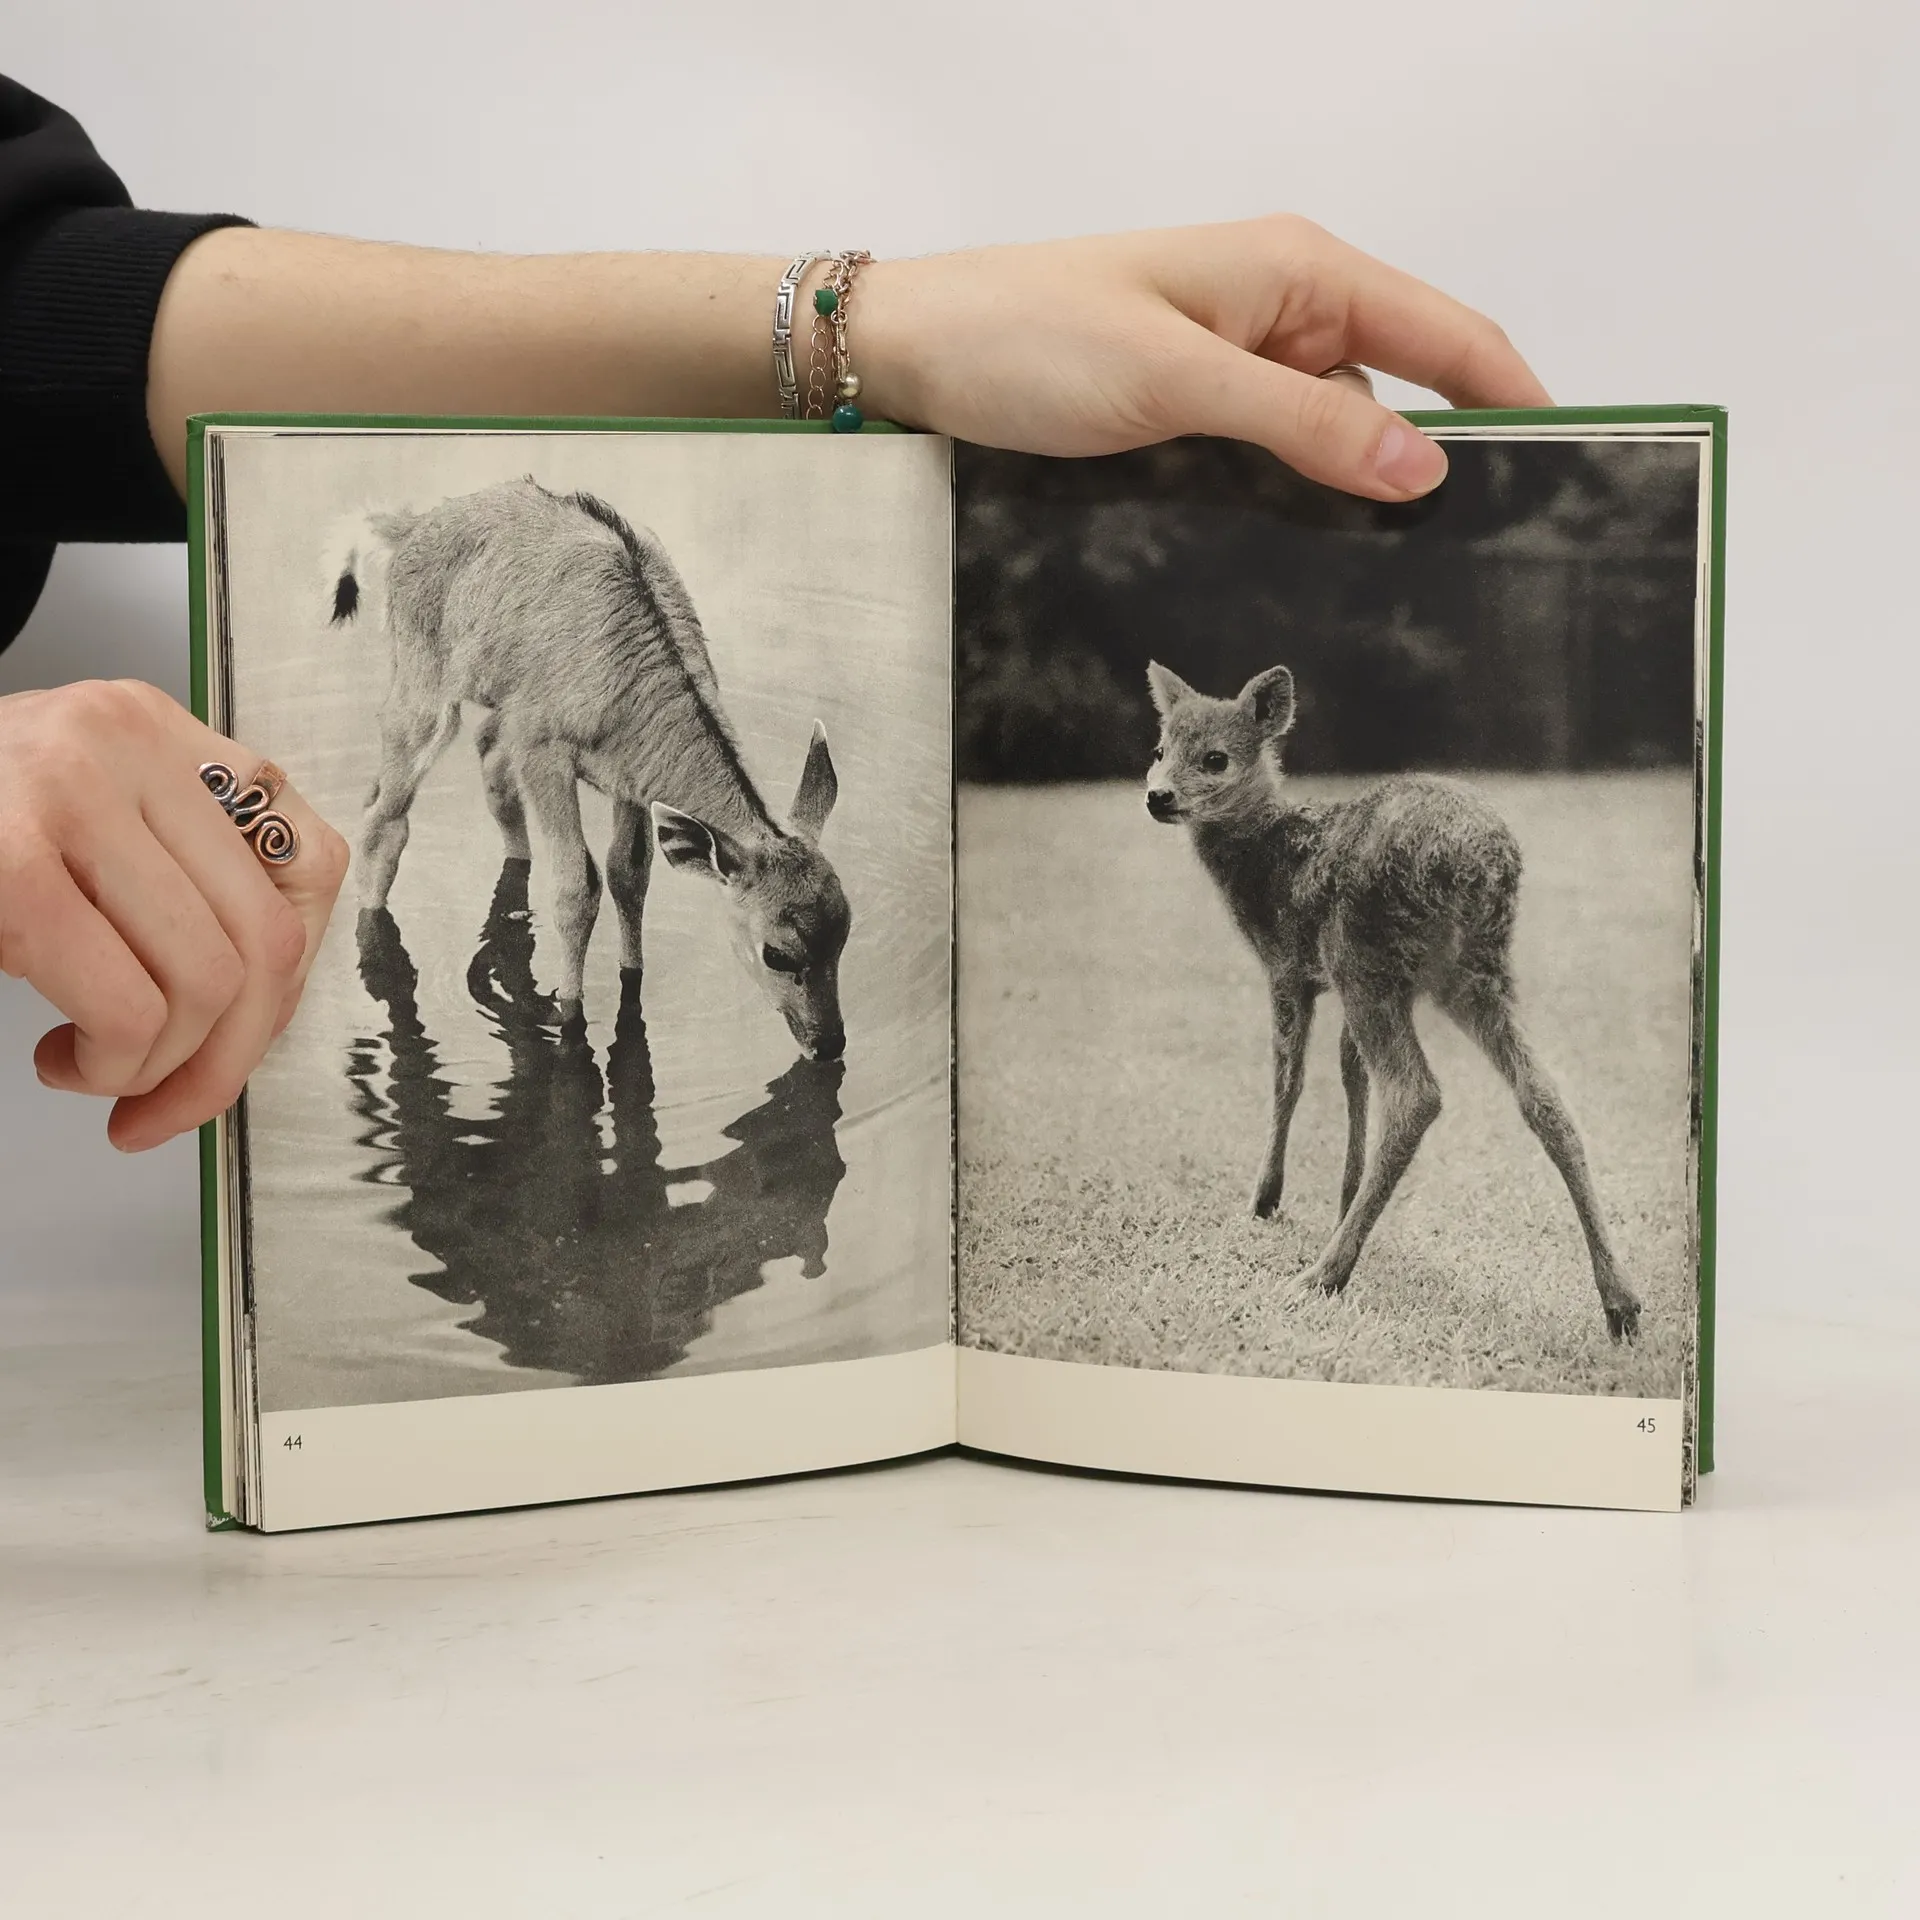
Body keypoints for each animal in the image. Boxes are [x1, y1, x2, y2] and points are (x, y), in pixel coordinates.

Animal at [326, 478, 851, 1061]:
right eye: (777, 953)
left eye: (843, 938)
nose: (829, 1043)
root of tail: (409, 528)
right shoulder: (545, 754)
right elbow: (577, 888)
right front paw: (570, 1013)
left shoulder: (631, 783)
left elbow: (629, 872)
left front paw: (630, 974)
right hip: (423, 697)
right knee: (384, 820)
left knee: (485, 766)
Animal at [1143, 660, 1640, 1341]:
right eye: (1159, 750)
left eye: (1215, 758)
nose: (1157, 795)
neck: (1267, 864)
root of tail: (1477, 862)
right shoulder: (1345, 983)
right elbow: (1351, 1076)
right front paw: (1343, 1195)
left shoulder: (1289, 966)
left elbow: (1288, 1078)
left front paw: (1266, 1198)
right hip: (1471, 974)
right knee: (1544, 1096)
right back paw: (1621, 1302)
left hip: (1366, 955)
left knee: (1416, 1095)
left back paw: (1323, 1275)